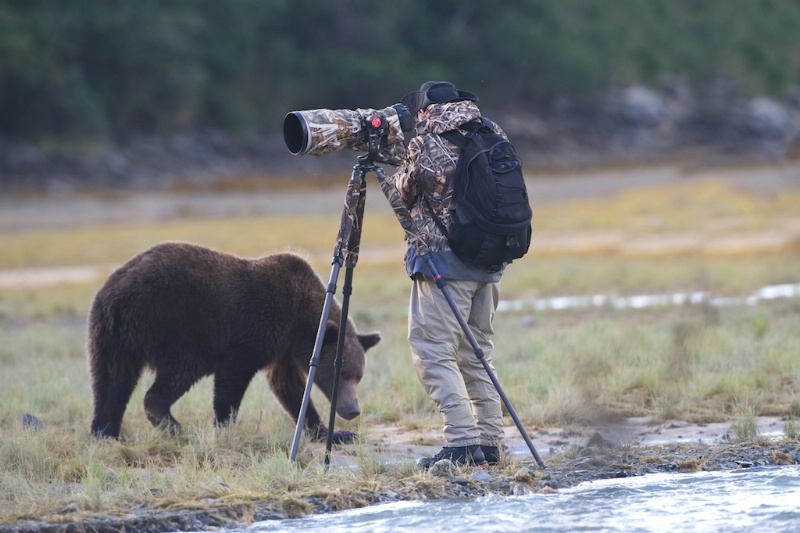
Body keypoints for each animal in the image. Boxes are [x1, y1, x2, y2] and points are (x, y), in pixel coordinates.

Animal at [86, 241, 380, 440]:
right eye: (341, 372)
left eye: (359, 376)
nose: (353, 409)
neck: (299, 322)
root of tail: (115, 295)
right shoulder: (256, 329)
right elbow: (233, 377)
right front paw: (224, 426)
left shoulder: (282, 351)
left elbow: (290, 389)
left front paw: (333, 433)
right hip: (172, 321)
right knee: (181, 368)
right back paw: (175, 426)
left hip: (111, 336)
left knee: (110, 381)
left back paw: (107, 431)